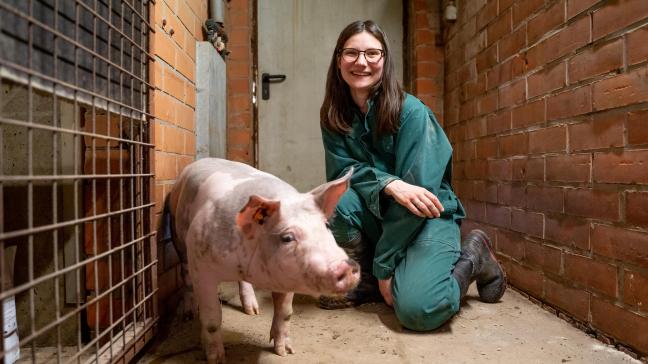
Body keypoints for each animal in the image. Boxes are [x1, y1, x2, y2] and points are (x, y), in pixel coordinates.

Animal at [166, 158, 360, 362]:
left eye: (327, 225)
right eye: (287, 238)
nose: (348, 266)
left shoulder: (287, 278)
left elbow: (285, 313)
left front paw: (285, 352)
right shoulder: (201, 265)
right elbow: (212, 318)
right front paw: (216, 359)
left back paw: (253, 311)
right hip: (177, 235)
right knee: (185, 275)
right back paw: (188, 315)